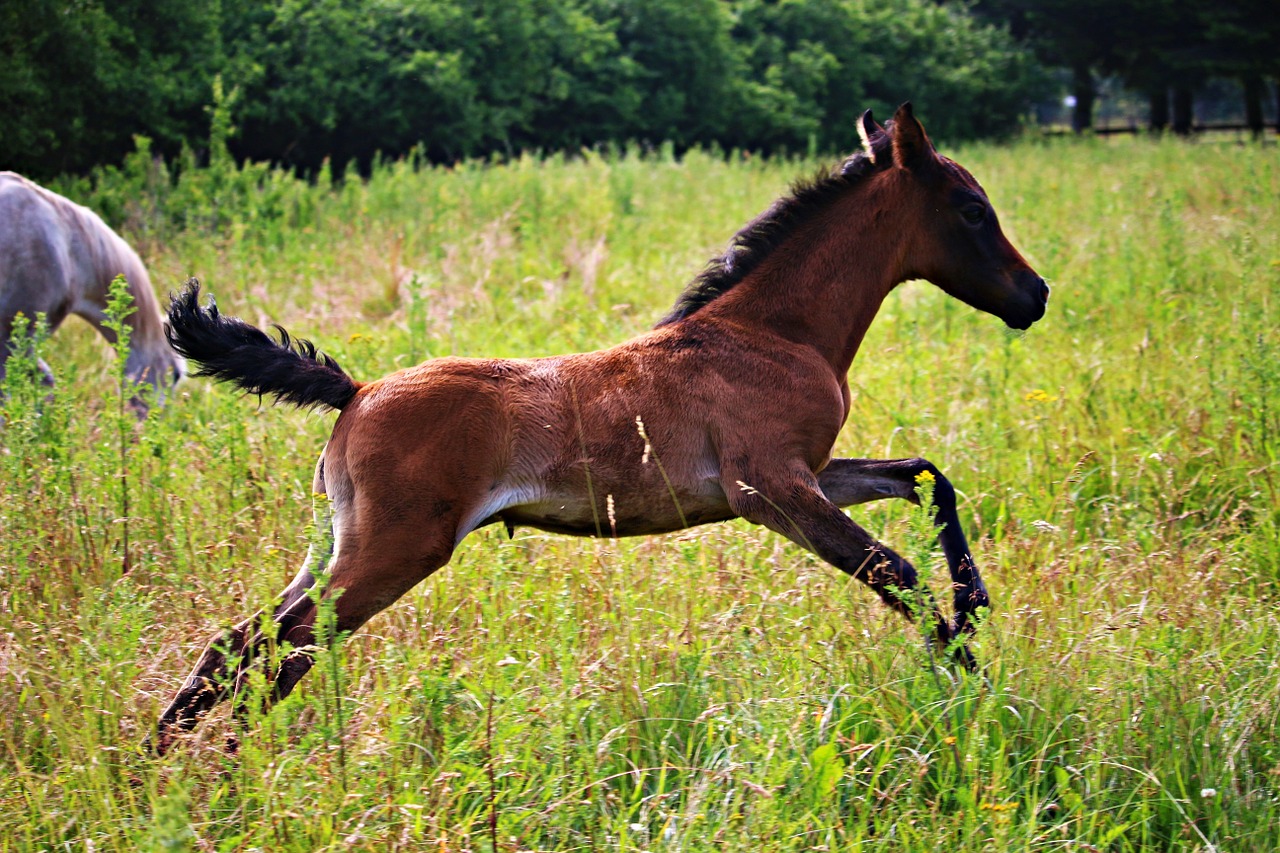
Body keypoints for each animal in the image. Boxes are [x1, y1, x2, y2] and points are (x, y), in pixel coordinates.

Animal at [154, 106, 1044, 753]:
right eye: (973, 209)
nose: (1034, 295)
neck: (773, 330)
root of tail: (358, 390)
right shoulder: (772, 490)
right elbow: (895, 569)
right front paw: (974, 681)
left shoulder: (810, 474)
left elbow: (925, 475)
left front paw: (975, 603)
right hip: (390, 552)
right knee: (282, 648)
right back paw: (228, 768)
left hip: (335, 542)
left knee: (239, 643)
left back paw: (169, 768)